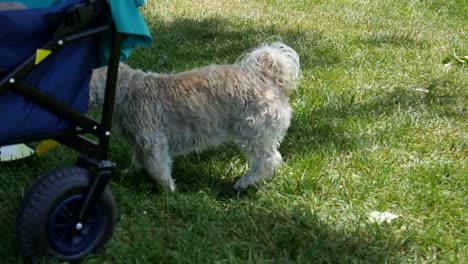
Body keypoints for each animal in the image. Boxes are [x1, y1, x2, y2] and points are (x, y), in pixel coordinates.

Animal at [88, 41, 300, 191]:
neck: (125, 90)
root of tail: (267, 78)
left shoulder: (153, 141)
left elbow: (158, 167)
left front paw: (168, 190)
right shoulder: (140, 141)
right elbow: (138, 161)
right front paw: (130, 174)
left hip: (253, 133)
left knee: (268, 160)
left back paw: (245, 183)